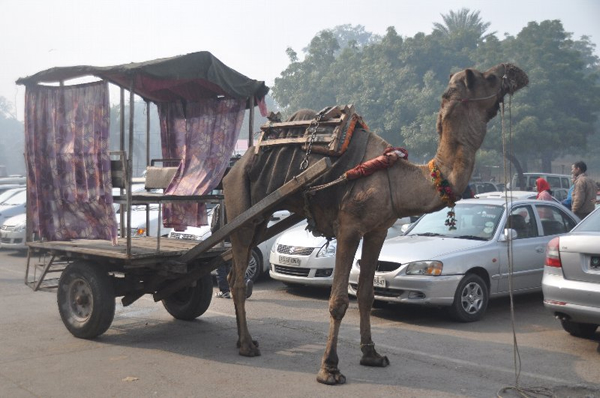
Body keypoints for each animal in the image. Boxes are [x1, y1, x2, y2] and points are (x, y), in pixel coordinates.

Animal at [220, 63, 524, 386]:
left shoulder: (377, 230)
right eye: (488, 77)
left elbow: (366, 294)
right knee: (239, 279)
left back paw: (242, 339)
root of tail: (235, 167)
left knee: (236, 271)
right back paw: (248, 345)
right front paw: (329, 368)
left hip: (259, 217)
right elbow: (339, 300)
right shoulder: (349, 227)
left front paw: (372, 355)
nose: (514, 70)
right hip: (241, 203)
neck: (398, 179)